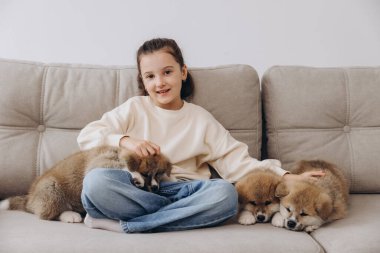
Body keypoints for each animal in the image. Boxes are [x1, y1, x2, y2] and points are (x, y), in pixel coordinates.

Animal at [0, 145, 172, 222]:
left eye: (159, 174)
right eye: (146, 173)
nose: (155, 187)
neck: (117, 152)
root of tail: (29, 200)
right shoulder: (98, 163)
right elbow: (123, 167)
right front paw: (135, 176)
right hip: (51, 189)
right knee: (49, 214)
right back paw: (70, 215)